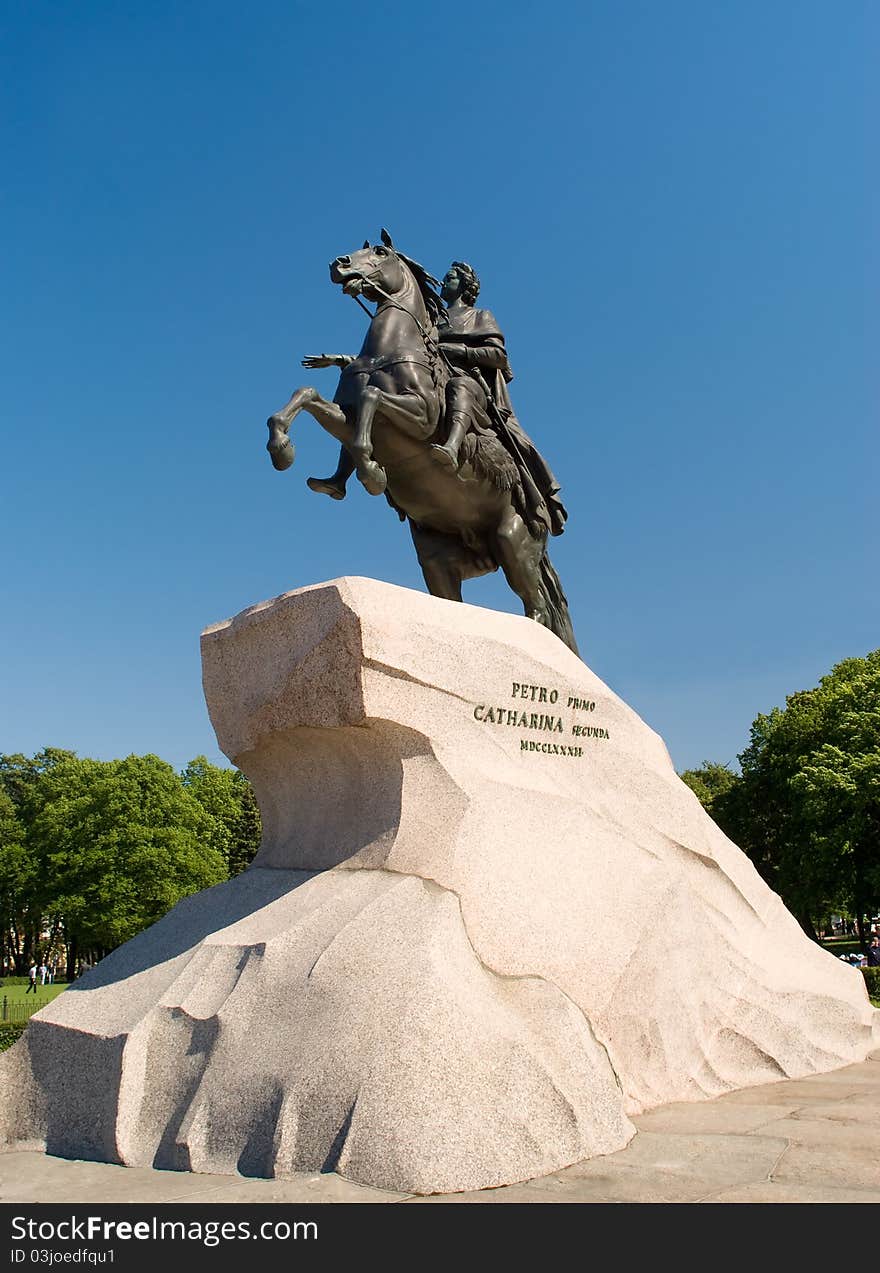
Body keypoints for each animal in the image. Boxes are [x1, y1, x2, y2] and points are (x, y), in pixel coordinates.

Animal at [264, 239, 578, 656]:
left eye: (380, 252)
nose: (339, 264)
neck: (386, 351)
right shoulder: (344, 415)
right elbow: (308, 394)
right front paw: (282, 449)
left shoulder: (421, 417)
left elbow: (373, 398)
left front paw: (372, 471)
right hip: (437, 560)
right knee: (458, 600)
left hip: (513, 542)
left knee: (538, 609)